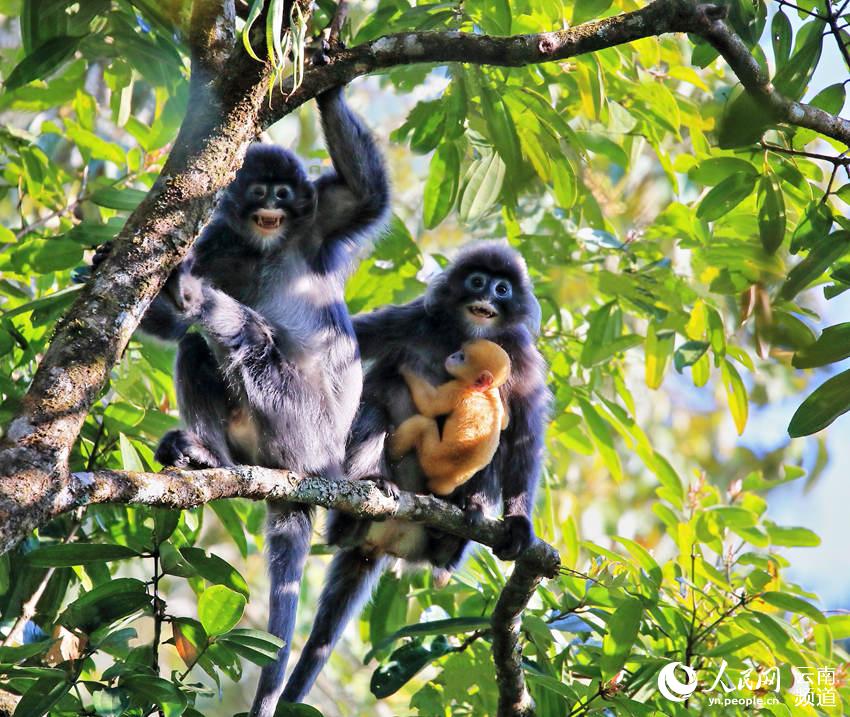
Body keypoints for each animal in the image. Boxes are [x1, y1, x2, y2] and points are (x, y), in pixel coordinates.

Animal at [388, 339, 511, 497]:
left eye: (462, 357)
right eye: (460, 352)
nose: (453, 355)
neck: (484, 391)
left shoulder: (459, 389)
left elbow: (430, 405)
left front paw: (406, 362)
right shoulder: (495, 397)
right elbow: (505, 423)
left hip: (431, 460)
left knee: (423, 424)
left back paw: (391, 448)